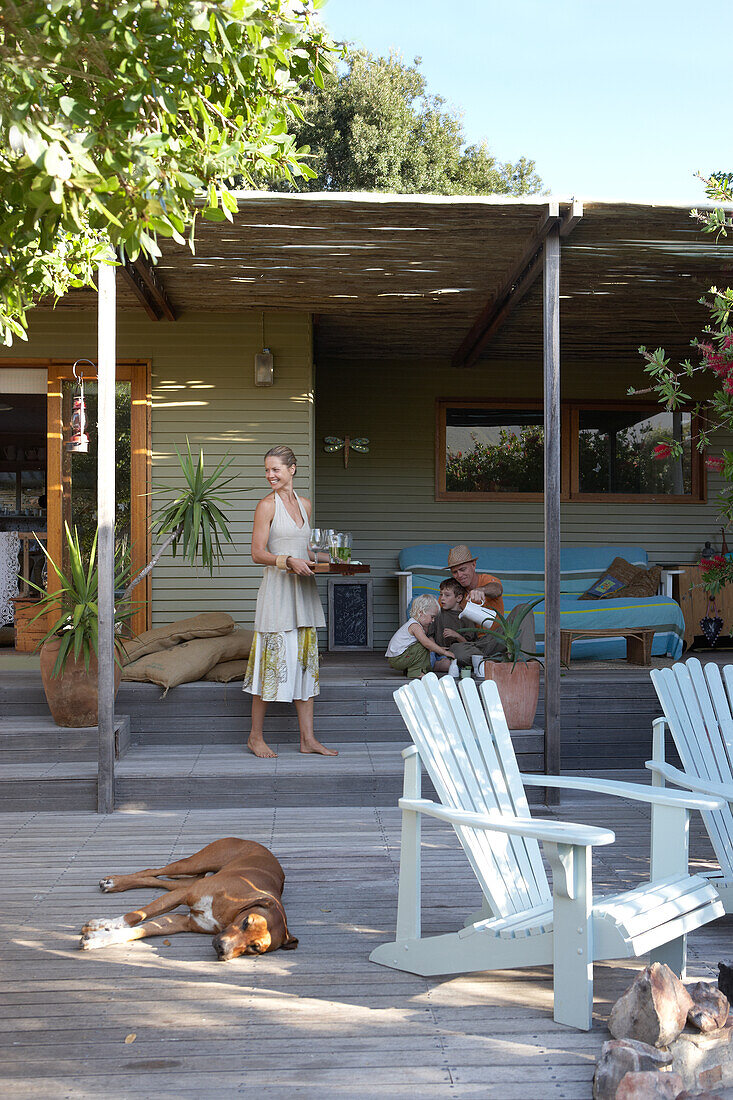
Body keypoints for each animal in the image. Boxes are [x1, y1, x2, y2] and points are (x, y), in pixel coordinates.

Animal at [79, 836, 297, 959]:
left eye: (255, 947)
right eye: (246, 922)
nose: (222, 948)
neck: (230, 912)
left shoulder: (180, 921)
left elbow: (139, 931)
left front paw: (99, 937)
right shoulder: (183, 895)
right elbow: (136, 915)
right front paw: (106, 923)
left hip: (187, 880)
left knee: (158, 880)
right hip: (194, 863)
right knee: (153, 871)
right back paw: (114, 883)